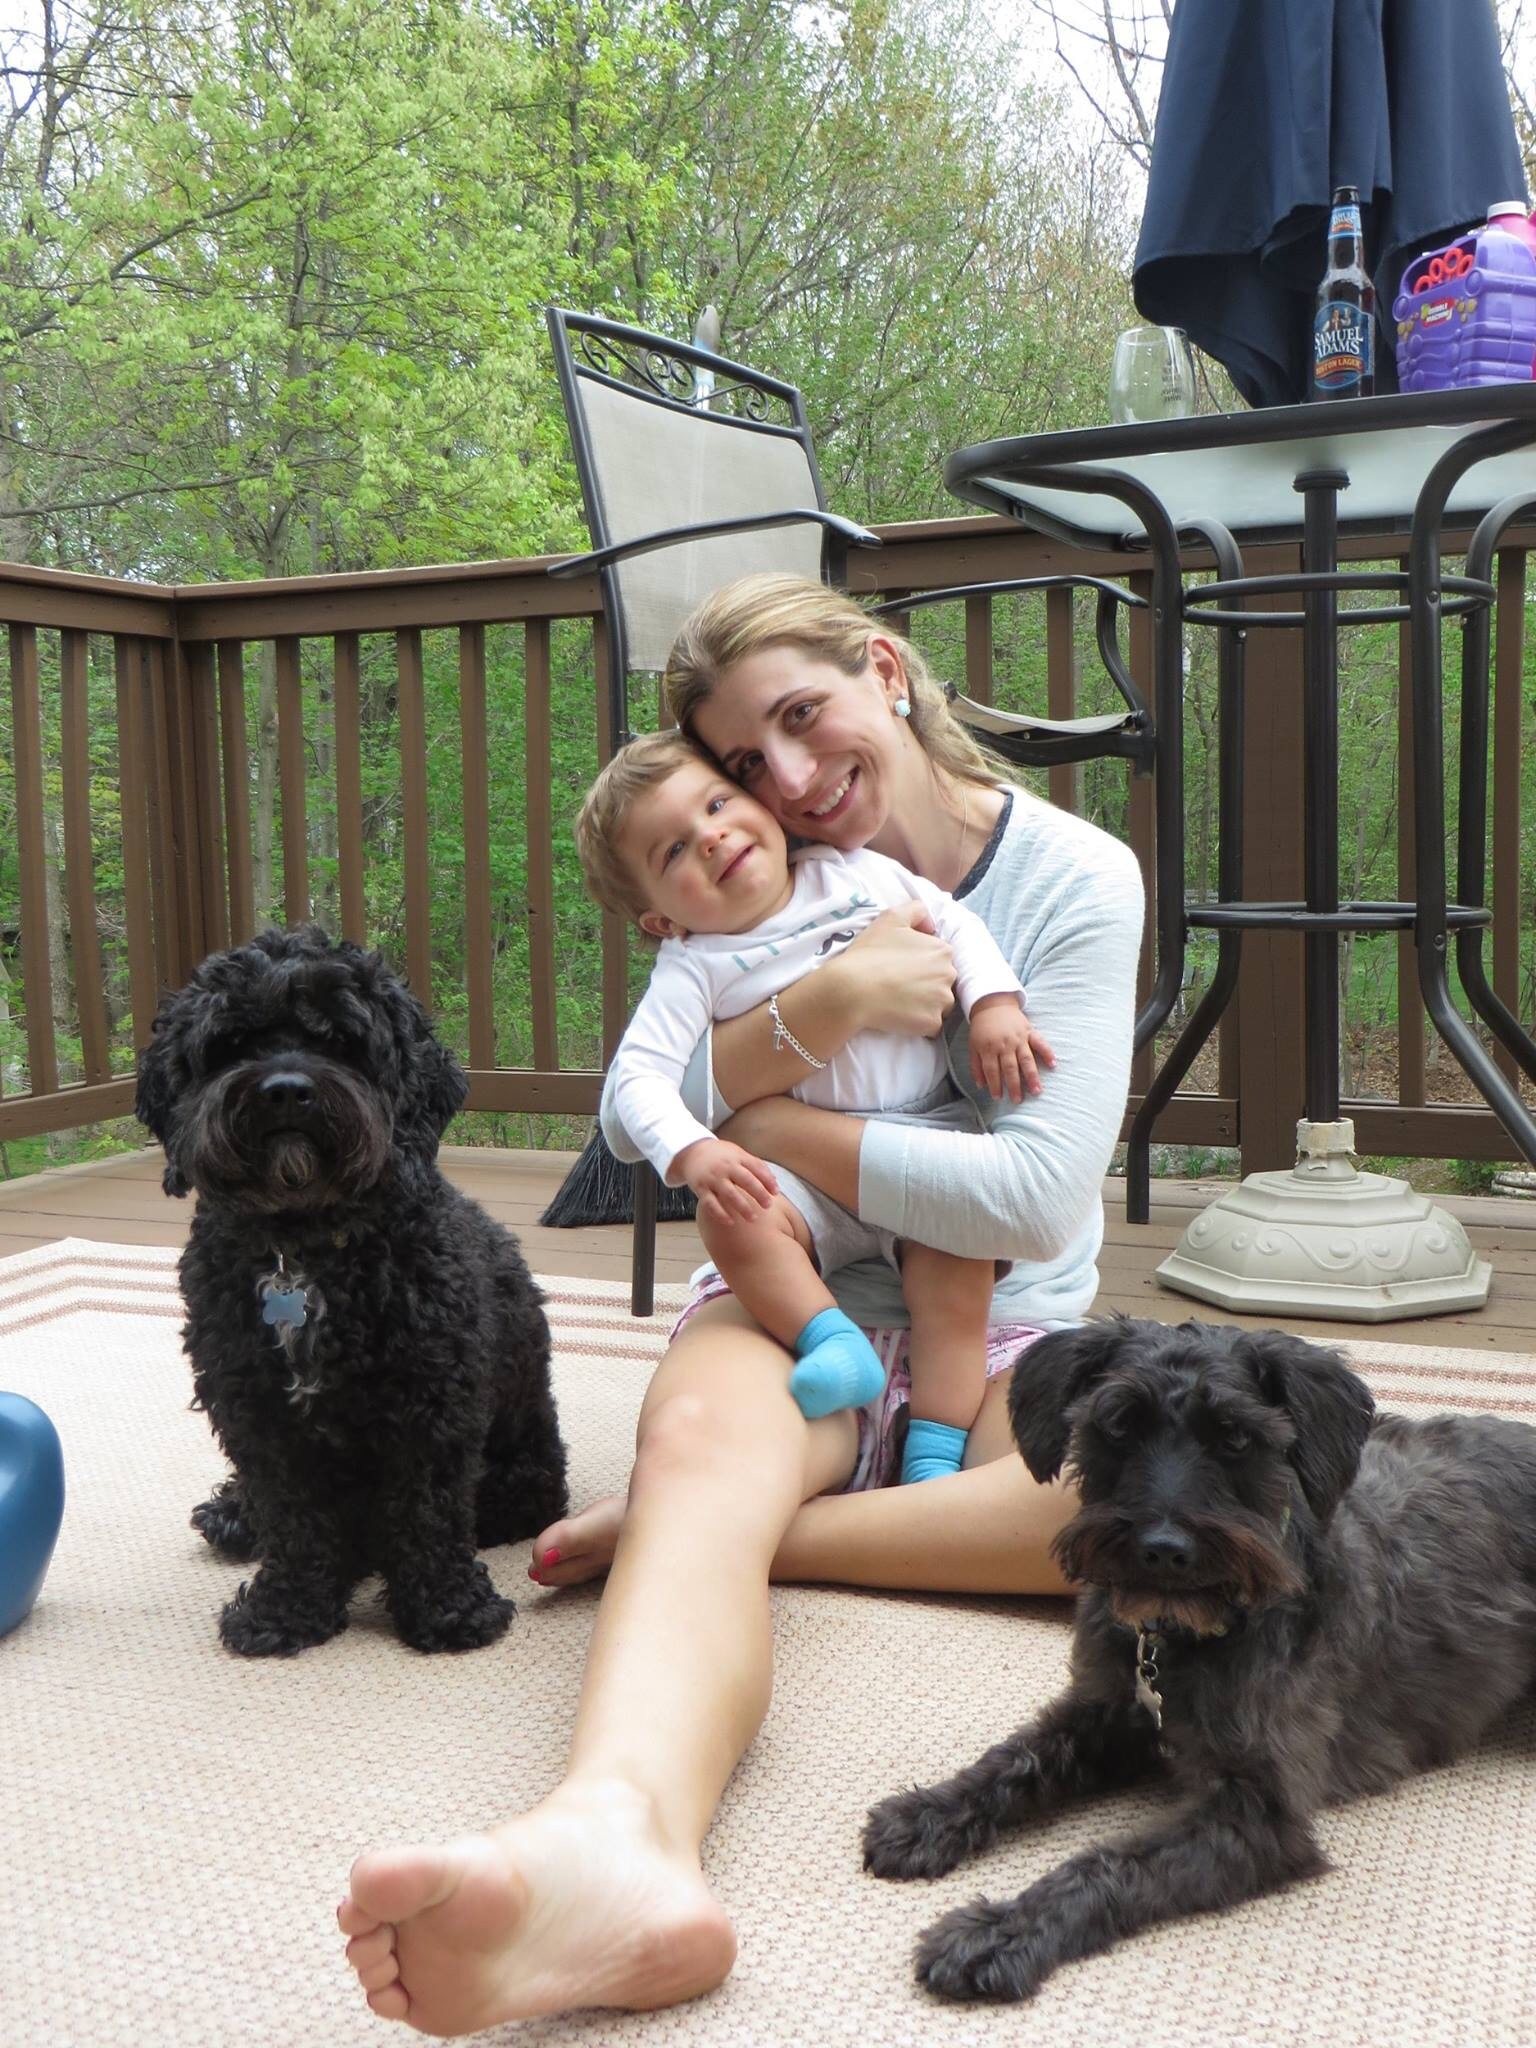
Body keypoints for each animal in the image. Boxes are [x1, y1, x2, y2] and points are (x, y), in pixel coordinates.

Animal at [135, 925, 568, 1657]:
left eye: (342, 1041)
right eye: (233, 1042)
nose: (284, 1091)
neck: (304, 1250)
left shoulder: (431, 1407)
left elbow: (426, 1516)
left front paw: (449, 1610)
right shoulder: (257, 1412)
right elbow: (292, 1519)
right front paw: (286, 1611)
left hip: (522, 1471)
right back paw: (236, 1516)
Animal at [862, 1315, 1536, 2002]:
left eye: (1236, 1436)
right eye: (1119, 1425)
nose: (1163, 1548)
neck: (1180, 1637)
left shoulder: (1258, 1813)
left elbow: (1111, 1862)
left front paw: (1001, 1931)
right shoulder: (1106, 1712)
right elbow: (1016, 1759)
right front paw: (928, 1815)